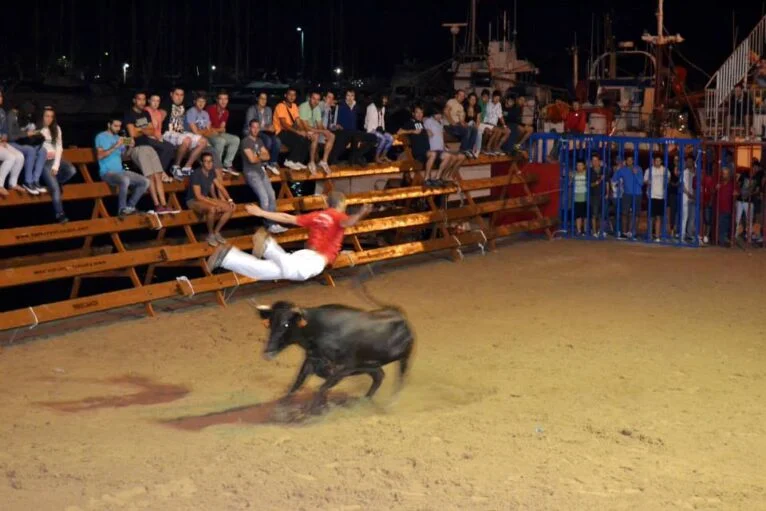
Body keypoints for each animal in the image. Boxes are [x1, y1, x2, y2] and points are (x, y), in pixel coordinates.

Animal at [256, 300, 414, 408]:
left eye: (286, 324)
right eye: (269, 323)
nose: (268, 352)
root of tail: (400, 316)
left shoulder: (344, 368)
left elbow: (322, 387)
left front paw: (314, 407)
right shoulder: (312, 361)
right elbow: (296, 384)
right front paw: (282, 406)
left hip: (403, 358)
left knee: (399, 378)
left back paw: (392, 401)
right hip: (369, 364)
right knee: (379, 376)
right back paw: (365, 399)